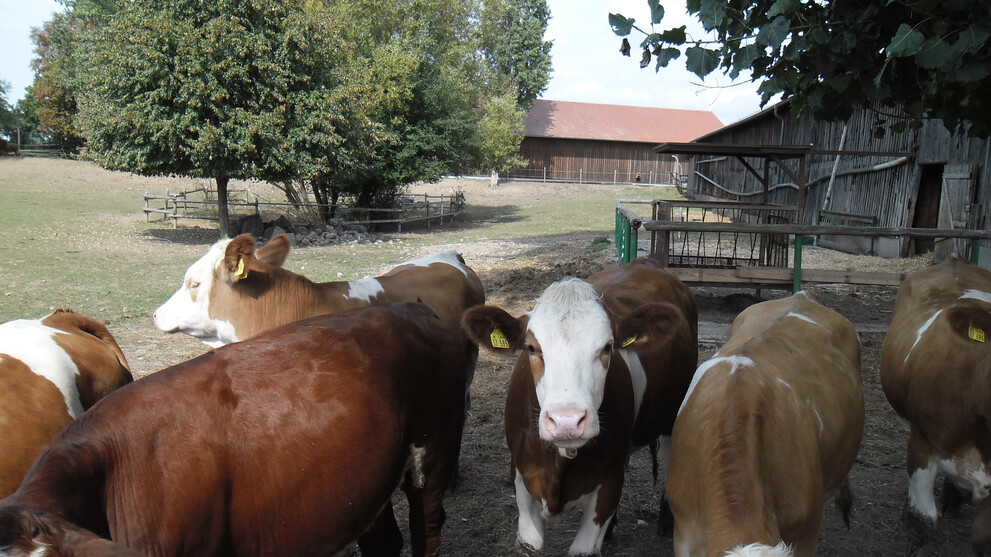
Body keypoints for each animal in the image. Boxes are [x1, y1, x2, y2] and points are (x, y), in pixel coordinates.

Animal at [460, 258, 696, 552]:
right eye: (531, 348)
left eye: (608, 347)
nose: (567, 422)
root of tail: (646, 263)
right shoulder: (520, 476)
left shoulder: (608, 482)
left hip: (673, 413)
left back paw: (665, 521)